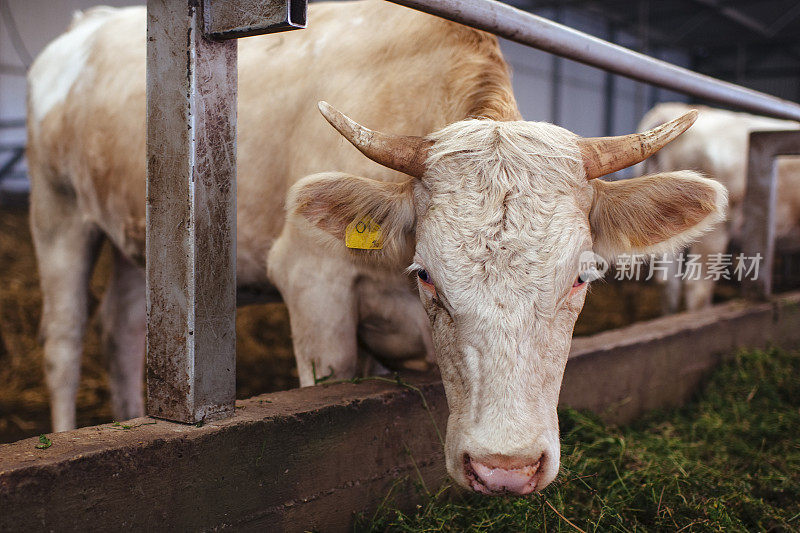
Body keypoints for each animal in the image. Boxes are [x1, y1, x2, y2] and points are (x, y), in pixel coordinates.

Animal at [28, 0, 724, 492]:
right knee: (63, 341)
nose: (505, 468)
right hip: (56, 209)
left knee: (122, 327)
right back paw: (63, 434)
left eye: (582, 277)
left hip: (136, 236)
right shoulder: (312, 280)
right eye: (427, 275)